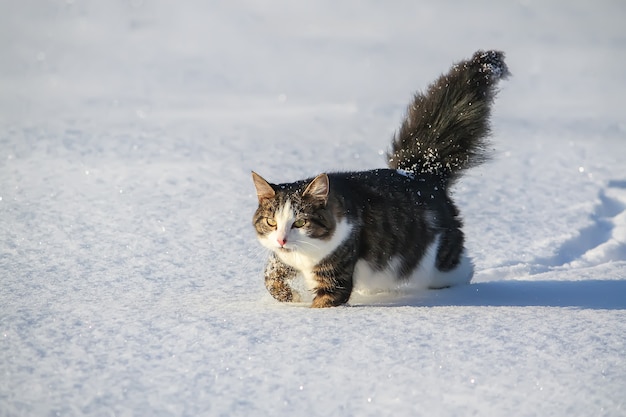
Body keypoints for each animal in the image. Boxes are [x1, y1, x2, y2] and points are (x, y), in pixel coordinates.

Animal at [249, 50, 508, 308]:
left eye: (301, 222)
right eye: (271, 222)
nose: (282, 240)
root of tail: (422, 172)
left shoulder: (336, 271)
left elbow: (324, 302)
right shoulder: (286, 259)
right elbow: (270, 275)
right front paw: (289, 297)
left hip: (437, 261)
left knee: (463, 268)